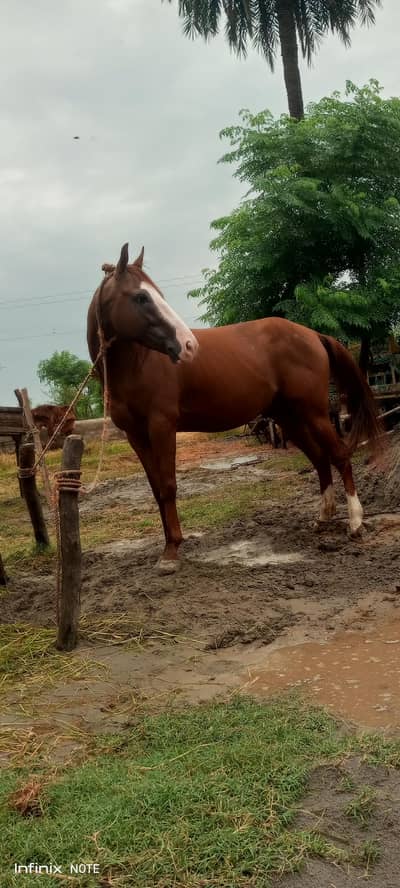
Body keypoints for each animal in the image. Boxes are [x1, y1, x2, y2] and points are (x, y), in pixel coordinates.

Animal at [87, 243, 381, 574]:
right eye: (141, 297)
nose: (188, 345)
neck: (139, 364)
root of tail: (312, 334)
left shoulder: (162, 426)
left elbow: (168, 486)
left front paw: (172, 551)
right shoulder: (135, 435)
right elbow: (156, 489)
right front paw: (168, 546)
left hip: (315, 414)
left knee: (340, 455)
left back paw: (356, 522)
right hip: (289, 417)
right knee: (319, 459)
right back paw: (323, 517)